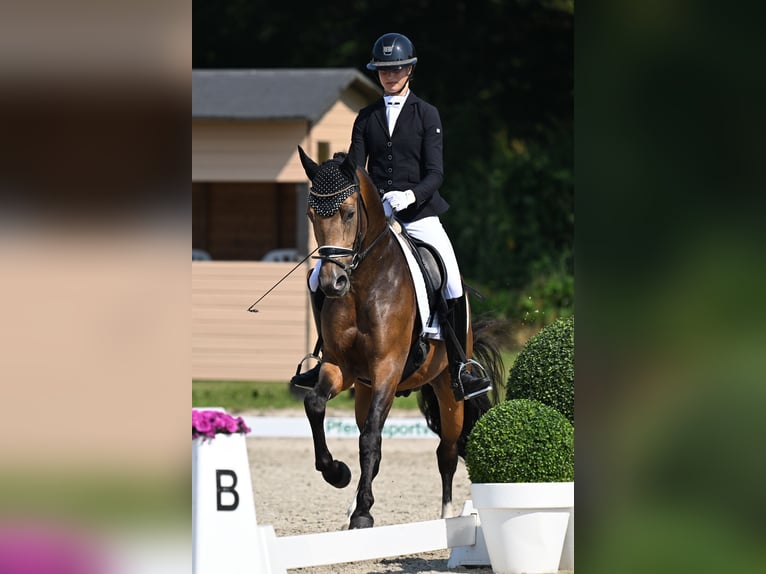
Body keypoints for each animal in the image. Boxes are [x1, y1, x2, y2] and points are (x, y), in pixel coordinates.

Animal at [296, 147, 508, 532]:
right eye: (311, 215)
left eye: (349, 212)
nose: (333, 283)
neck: (363, 284)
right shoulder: (342, 368)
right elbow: (317, 406)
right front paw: (338, 474)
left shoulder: (388, 369)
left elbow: (371, 439)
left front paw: (364, 512)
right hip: (365, 390)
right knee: (371, 437)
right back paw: (352, 506)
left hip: (447, 388)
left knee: (446, 451)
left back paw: (447, 516)